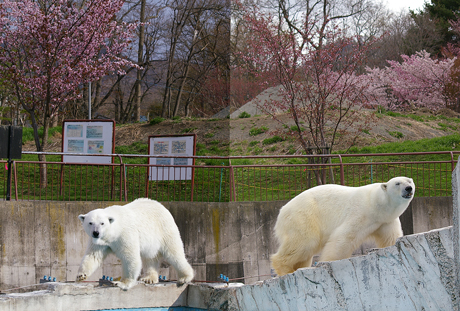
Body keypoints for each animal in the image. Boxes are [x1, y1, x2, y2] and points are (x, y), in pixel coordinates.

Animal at [272, 177, 416, 276]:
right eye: (397, 183)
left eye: (409, 181)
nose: (409, 188)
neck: (377, 203)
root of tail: (282, 211)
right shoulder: (361, 213)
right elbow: (344, 238)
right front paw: (329, 262)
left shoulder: (386, 221)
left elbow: (390, 237)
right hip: (303, 216)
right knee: (304, 242)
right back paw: (285, 269)